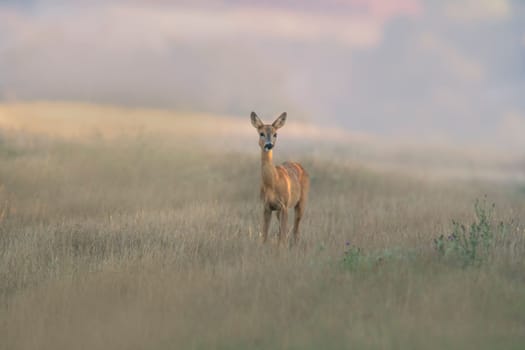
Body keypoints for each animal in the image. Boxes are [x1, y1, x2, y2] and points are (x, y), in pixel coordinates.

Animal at [249, 112, 308, 246]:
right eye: (261, 133)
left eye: (275, 134)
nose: (269, 145)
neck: (273, 182)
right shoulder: (267, 206)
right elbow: (264, 236)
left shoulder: (284, 205)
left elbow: (283, 238)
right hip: (278, 211)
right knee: (285, 231)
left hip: (301, 201)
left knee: (296, 230)